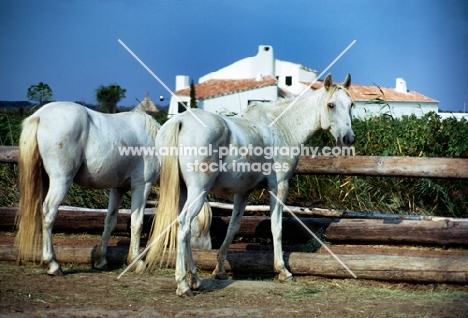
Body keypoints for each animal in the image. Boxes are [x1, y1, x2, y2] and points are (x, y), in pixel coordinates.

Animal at [14, 102, 211, 276]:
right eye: (202, 225)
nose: (208, 248)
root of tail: (40, 116)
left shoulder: (118, 189)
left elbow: (110, 221)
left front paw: (100, 260)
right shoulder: (142, 186)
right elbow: (136, 223)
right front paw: (136, 262)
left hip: (45, 181)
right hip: (60, 180)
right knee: (48, 213)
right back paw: (52, 264)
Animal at [144, 74, 352, 296]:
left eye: (351, 105)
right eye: (331, 105)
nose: (348, 139)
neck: (281, 125)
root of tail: (180, 121)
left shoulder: (243, 192)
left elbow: (233, 227)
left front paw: (219, 270)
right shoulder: (279, 187)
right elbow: (276, 227)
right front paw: (283, 271)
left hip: (185, 192)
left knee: (187, 229)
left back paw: (195, 280)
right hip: (198, 192)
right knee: (183, 226)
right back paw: (183, 285)